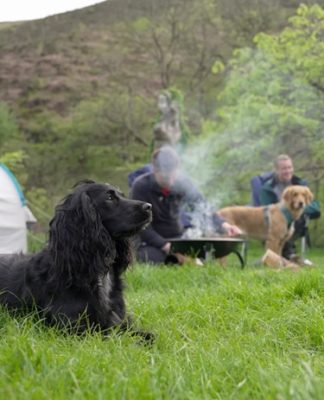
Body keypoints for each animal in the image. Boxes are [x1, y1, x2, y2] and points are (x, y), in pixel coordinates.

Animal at [0, 180, 153, 338]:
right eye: (109, 197)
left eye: (122, 195)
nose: (149, 206)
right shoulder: (74, 329)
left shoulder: (120, 321)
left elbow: (150, 335)